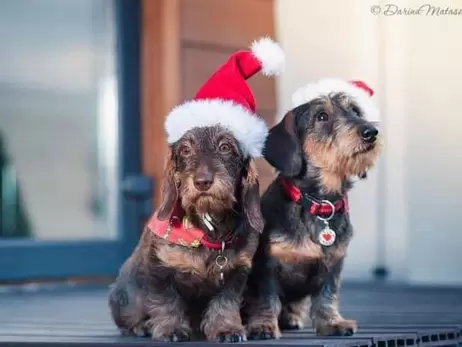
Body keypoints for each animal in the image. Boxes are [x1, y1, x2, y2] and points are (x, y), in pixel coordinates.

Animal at [106, 125, 262, 342]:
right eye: (186, 150)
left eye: (225, 147)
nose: (202, 182)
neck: (209, 230)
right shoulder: (160, 269)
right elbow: (166, 302)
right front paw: (171, 329)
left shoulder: (236, 272)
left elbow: (225, 303)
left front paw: (226, 329)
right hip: (128, 301)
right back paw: (142, 326)